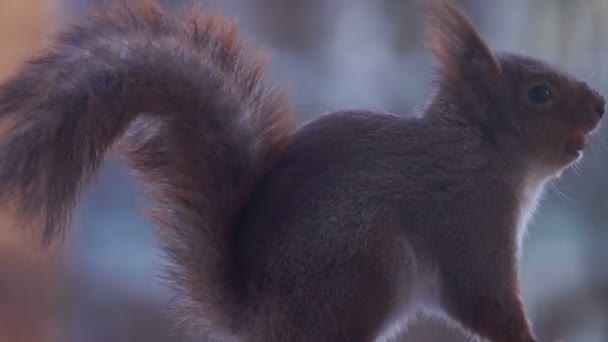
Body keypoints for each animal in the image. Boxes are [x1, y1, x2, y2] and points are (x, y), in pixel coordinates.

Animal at [0, 0, 604, 340]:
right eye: (540, 94)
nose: (600, 104)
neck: (479, 150)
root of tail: (258, 320)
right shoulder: (470, 224)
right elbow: (482, 301)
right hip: (363, 267)